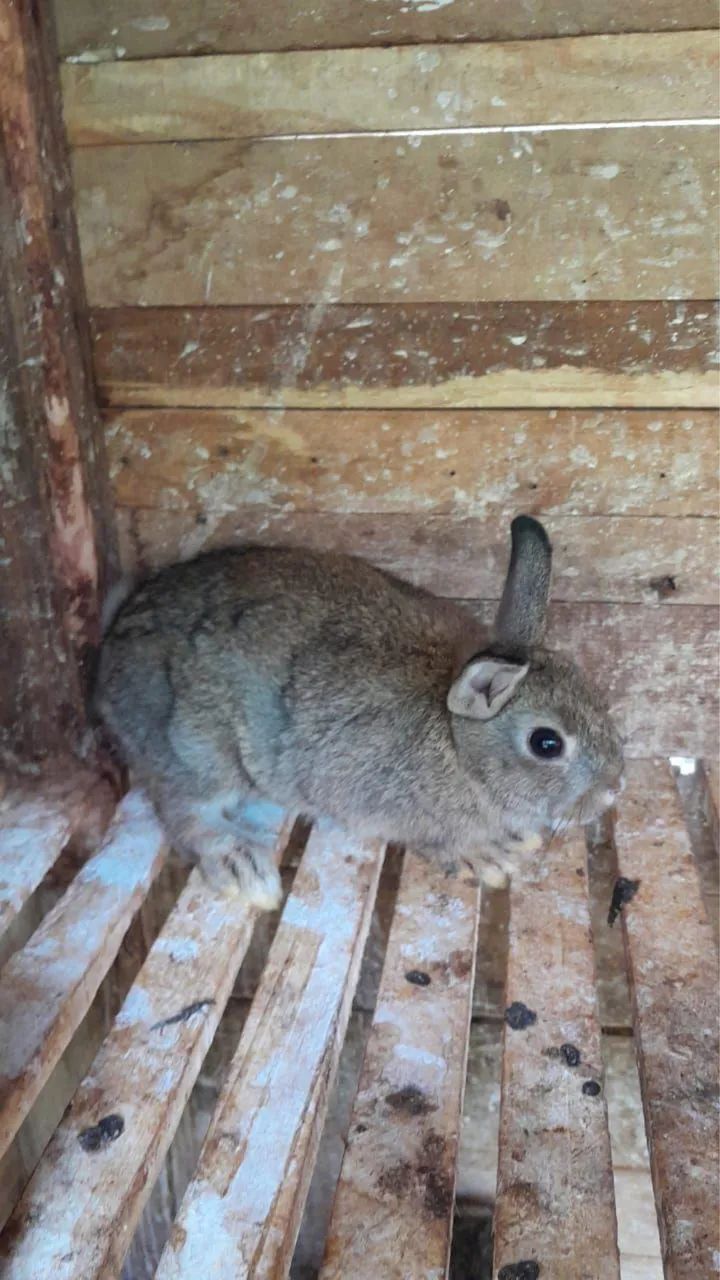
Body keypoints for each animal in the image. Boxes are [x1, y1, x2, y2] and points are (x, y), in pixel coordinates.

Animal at [96, 515, 624, 909]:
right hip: (197, 749)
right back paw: (243, 866)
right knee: (184, 810)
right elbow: (436, 840)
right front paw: (490, 856)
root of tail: (110, 646)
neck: (458, 745)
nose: (613, 789)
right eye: (546, 743)